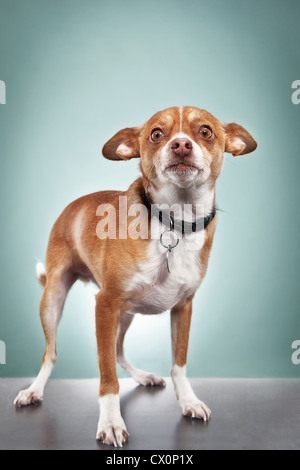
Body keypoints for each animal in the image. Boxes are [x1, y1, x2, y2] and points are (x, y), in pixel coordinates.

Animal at [14, 106, 256, 448]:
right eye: (156, 134)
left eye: (205, 131)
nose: (181, 145)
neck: (174, 221)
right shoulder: (105, 305)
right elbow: (107, 376)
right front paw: (111, 422)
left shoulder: (183, 308)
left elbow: (178, 363)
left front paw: (188, 401)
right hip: (54, 299)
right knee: (52, 353)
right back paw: (33, 390)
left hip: (126, 314)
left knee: (117, 350)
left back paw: (143, 376)